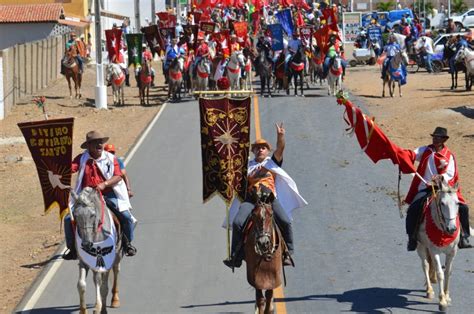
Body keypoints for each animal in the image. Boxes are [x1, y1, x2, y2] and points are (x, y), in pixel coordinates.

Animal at [416, 178, 462, 312]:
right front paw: (442, 302)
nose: (452, 229)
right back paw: (429, 291)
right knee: (425, 265)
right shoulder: (434, 251)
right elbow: (440, 273)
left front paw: (447, 296)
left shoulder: (452, 252)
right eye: (442, 203)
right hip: (421, 246)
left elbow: (448, 272)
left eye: (457, 203)